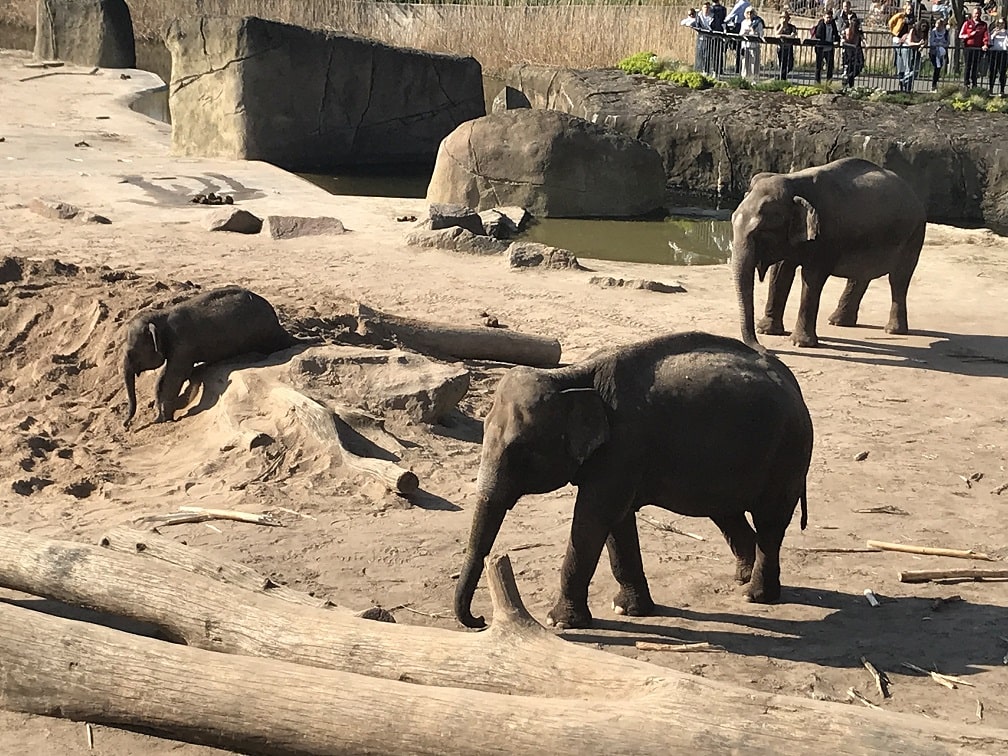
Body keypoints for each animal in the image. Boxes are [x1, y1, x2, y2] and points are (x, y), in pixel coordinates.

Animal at [121, 286, 294, 429]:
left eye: (132, 353)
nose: (126, 425)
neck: (159, 316)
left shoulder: (183, 345)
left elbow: (175, 376)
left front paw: (162, 418)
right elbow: (164, 376)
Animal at [453, 332, 814, 633]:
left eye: (520, 450)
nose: (480, 619)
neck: (571, 377)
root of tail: (793, 381)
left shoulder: (623, 447)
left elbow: (592, 519)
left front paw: (559, 622)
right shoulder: (617, 458)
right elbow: (617, 523)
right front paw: (627, 609)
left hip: (789, 452)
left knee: (769, 521)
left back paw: (755, 595)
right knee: (727, 514)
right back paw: (742, 579)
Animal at [729, 159, 923, 352]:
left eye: (761, 231)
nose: (764, 349)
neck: (793, 183)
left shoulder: (826, 235)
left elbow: (811, 277)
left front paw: (800, 343)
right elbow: (780, 273)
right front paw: (766, 330)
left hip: (914, 235)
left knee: (898, 279)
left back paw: (892, 331)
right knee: (860, 277)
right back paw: (838, 322)